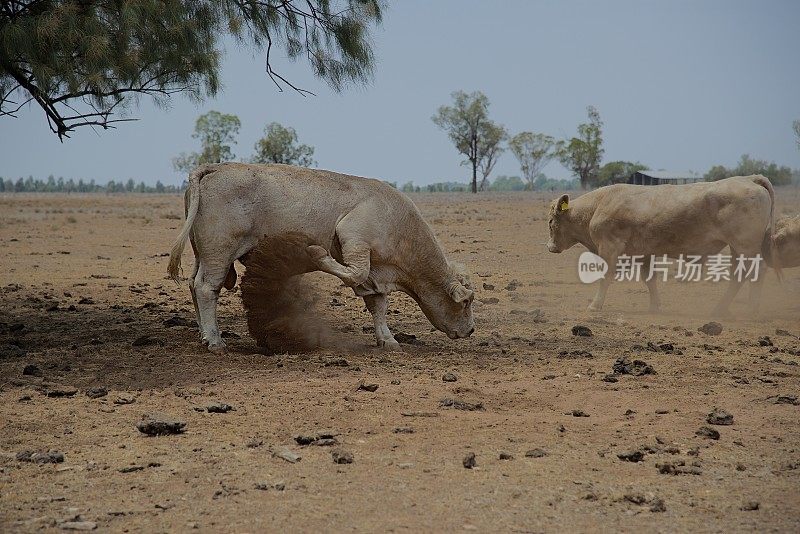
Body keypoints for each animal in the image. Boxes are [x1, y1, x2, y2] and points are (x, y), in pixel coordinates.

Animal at [166, 165, 472, 354]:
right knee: (207, 288)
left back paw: (203, 334)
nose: (470, 330)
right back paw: (215, 340)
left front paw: (387, 339)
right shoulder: (355, 241)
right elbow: (355, 274)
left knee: (193, 285)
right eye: (467, 303)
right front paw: (316, 253)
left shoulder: (378, 274)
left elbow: (378, 306)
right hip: (219, 253)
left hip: (204, 255)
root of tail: (217, 167)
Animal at [548, 176, 780, 314]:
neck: (598, 205)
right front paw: (655, 307)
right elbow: (650, 280)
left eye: (551, 222)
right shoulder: (644, 254)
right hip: (738, 248)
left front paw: (595, 305)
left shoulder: (610, 248)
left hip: (744, 246)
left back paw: (741, 310)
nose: (550, 247)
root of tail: (748, 178)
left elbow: (606, 278)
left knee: (751, 273)